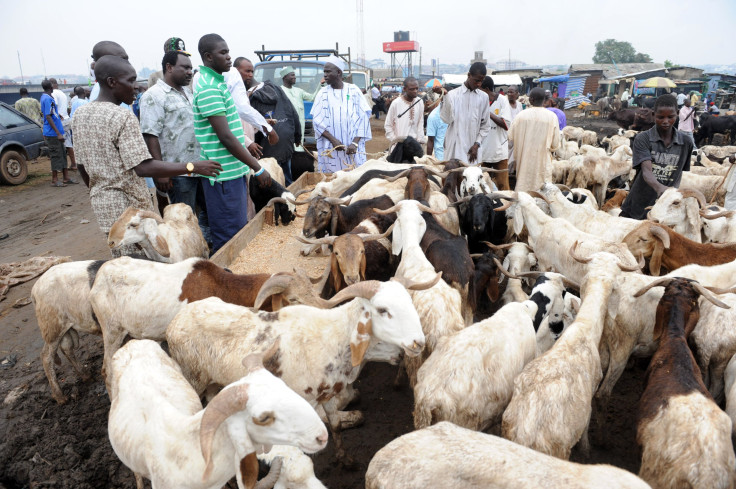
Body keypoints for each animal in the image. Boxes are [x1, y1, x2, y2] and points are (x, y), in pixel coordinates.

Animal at [165, 278, 432, 466]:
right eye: (383, 310)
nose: (418, 342)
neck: (334, 337)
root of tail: (174, 322)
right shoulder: (306, 400)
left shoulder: (328, 393)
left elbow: (335, 425)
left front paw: (345, 459)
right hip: (193, 376)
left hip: (214, 381)